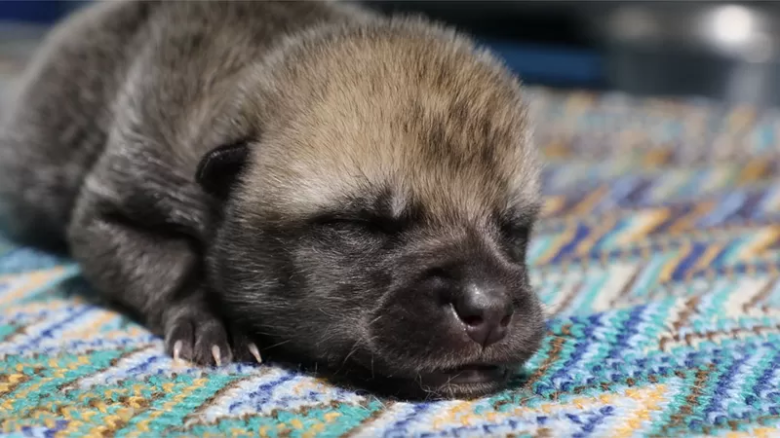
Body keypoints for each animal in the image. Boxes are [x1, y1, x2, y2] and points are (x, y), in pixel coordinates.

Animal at [0, 0, 544, 400]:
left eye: (514, 229)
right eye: (364, 224)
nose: (490, 310)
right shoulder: (113, 209)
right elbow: (170, 261)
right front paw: (214, 318)